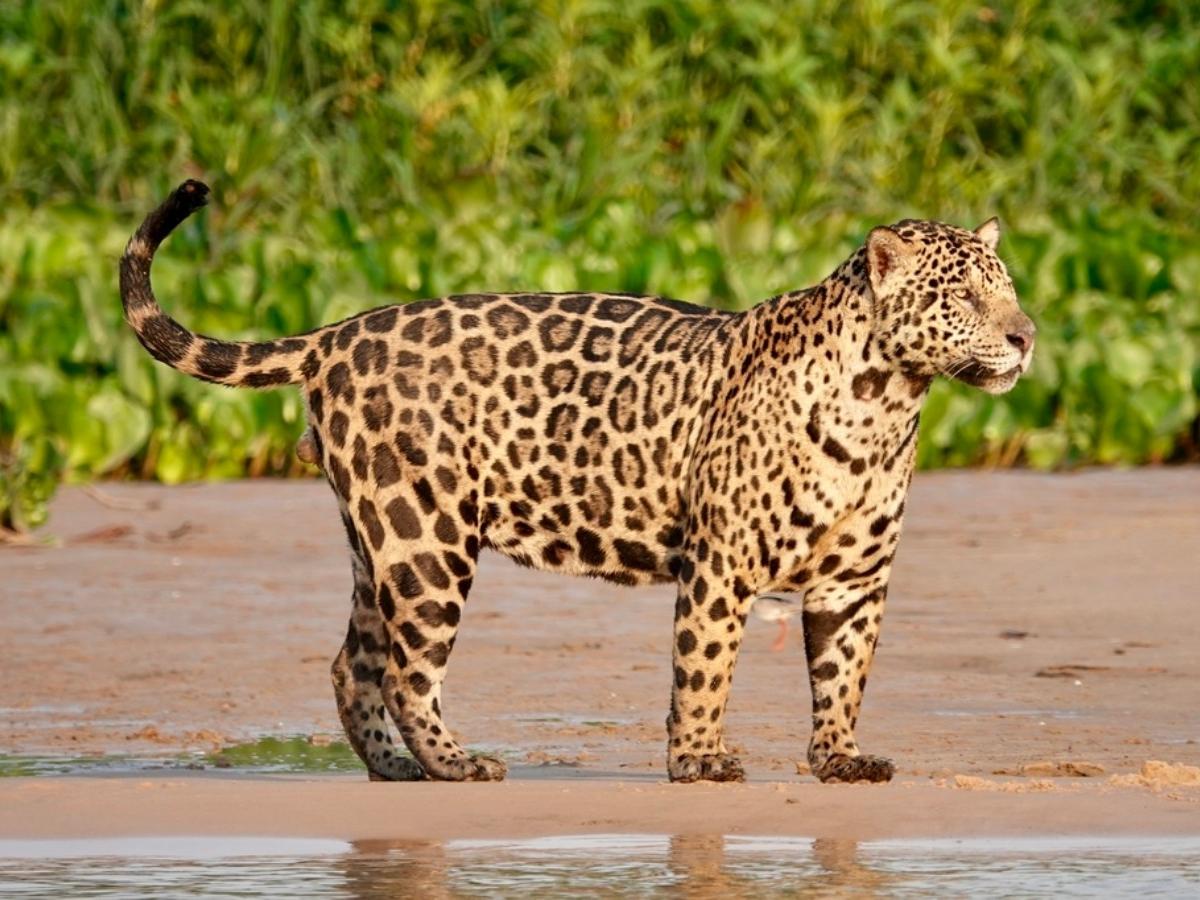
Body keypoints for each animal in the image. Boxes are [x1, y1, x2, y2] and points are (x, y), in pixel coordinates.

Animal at [120, 180, 1035, 784]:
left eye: (1011, 290)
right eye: (964, 296)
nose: (1027, 335)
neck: (885, 402)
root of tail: (338, 332)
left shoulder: (855, 581)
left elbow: (844, 675)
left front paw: (840, 758)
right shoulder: (720, 565)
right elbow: (705, 668)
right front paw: (699, 760)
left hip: (379, 539)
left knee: (355, 665)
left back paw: (396, 769)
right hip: (427, 542)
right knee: (409, 671)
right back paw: (456, 765)